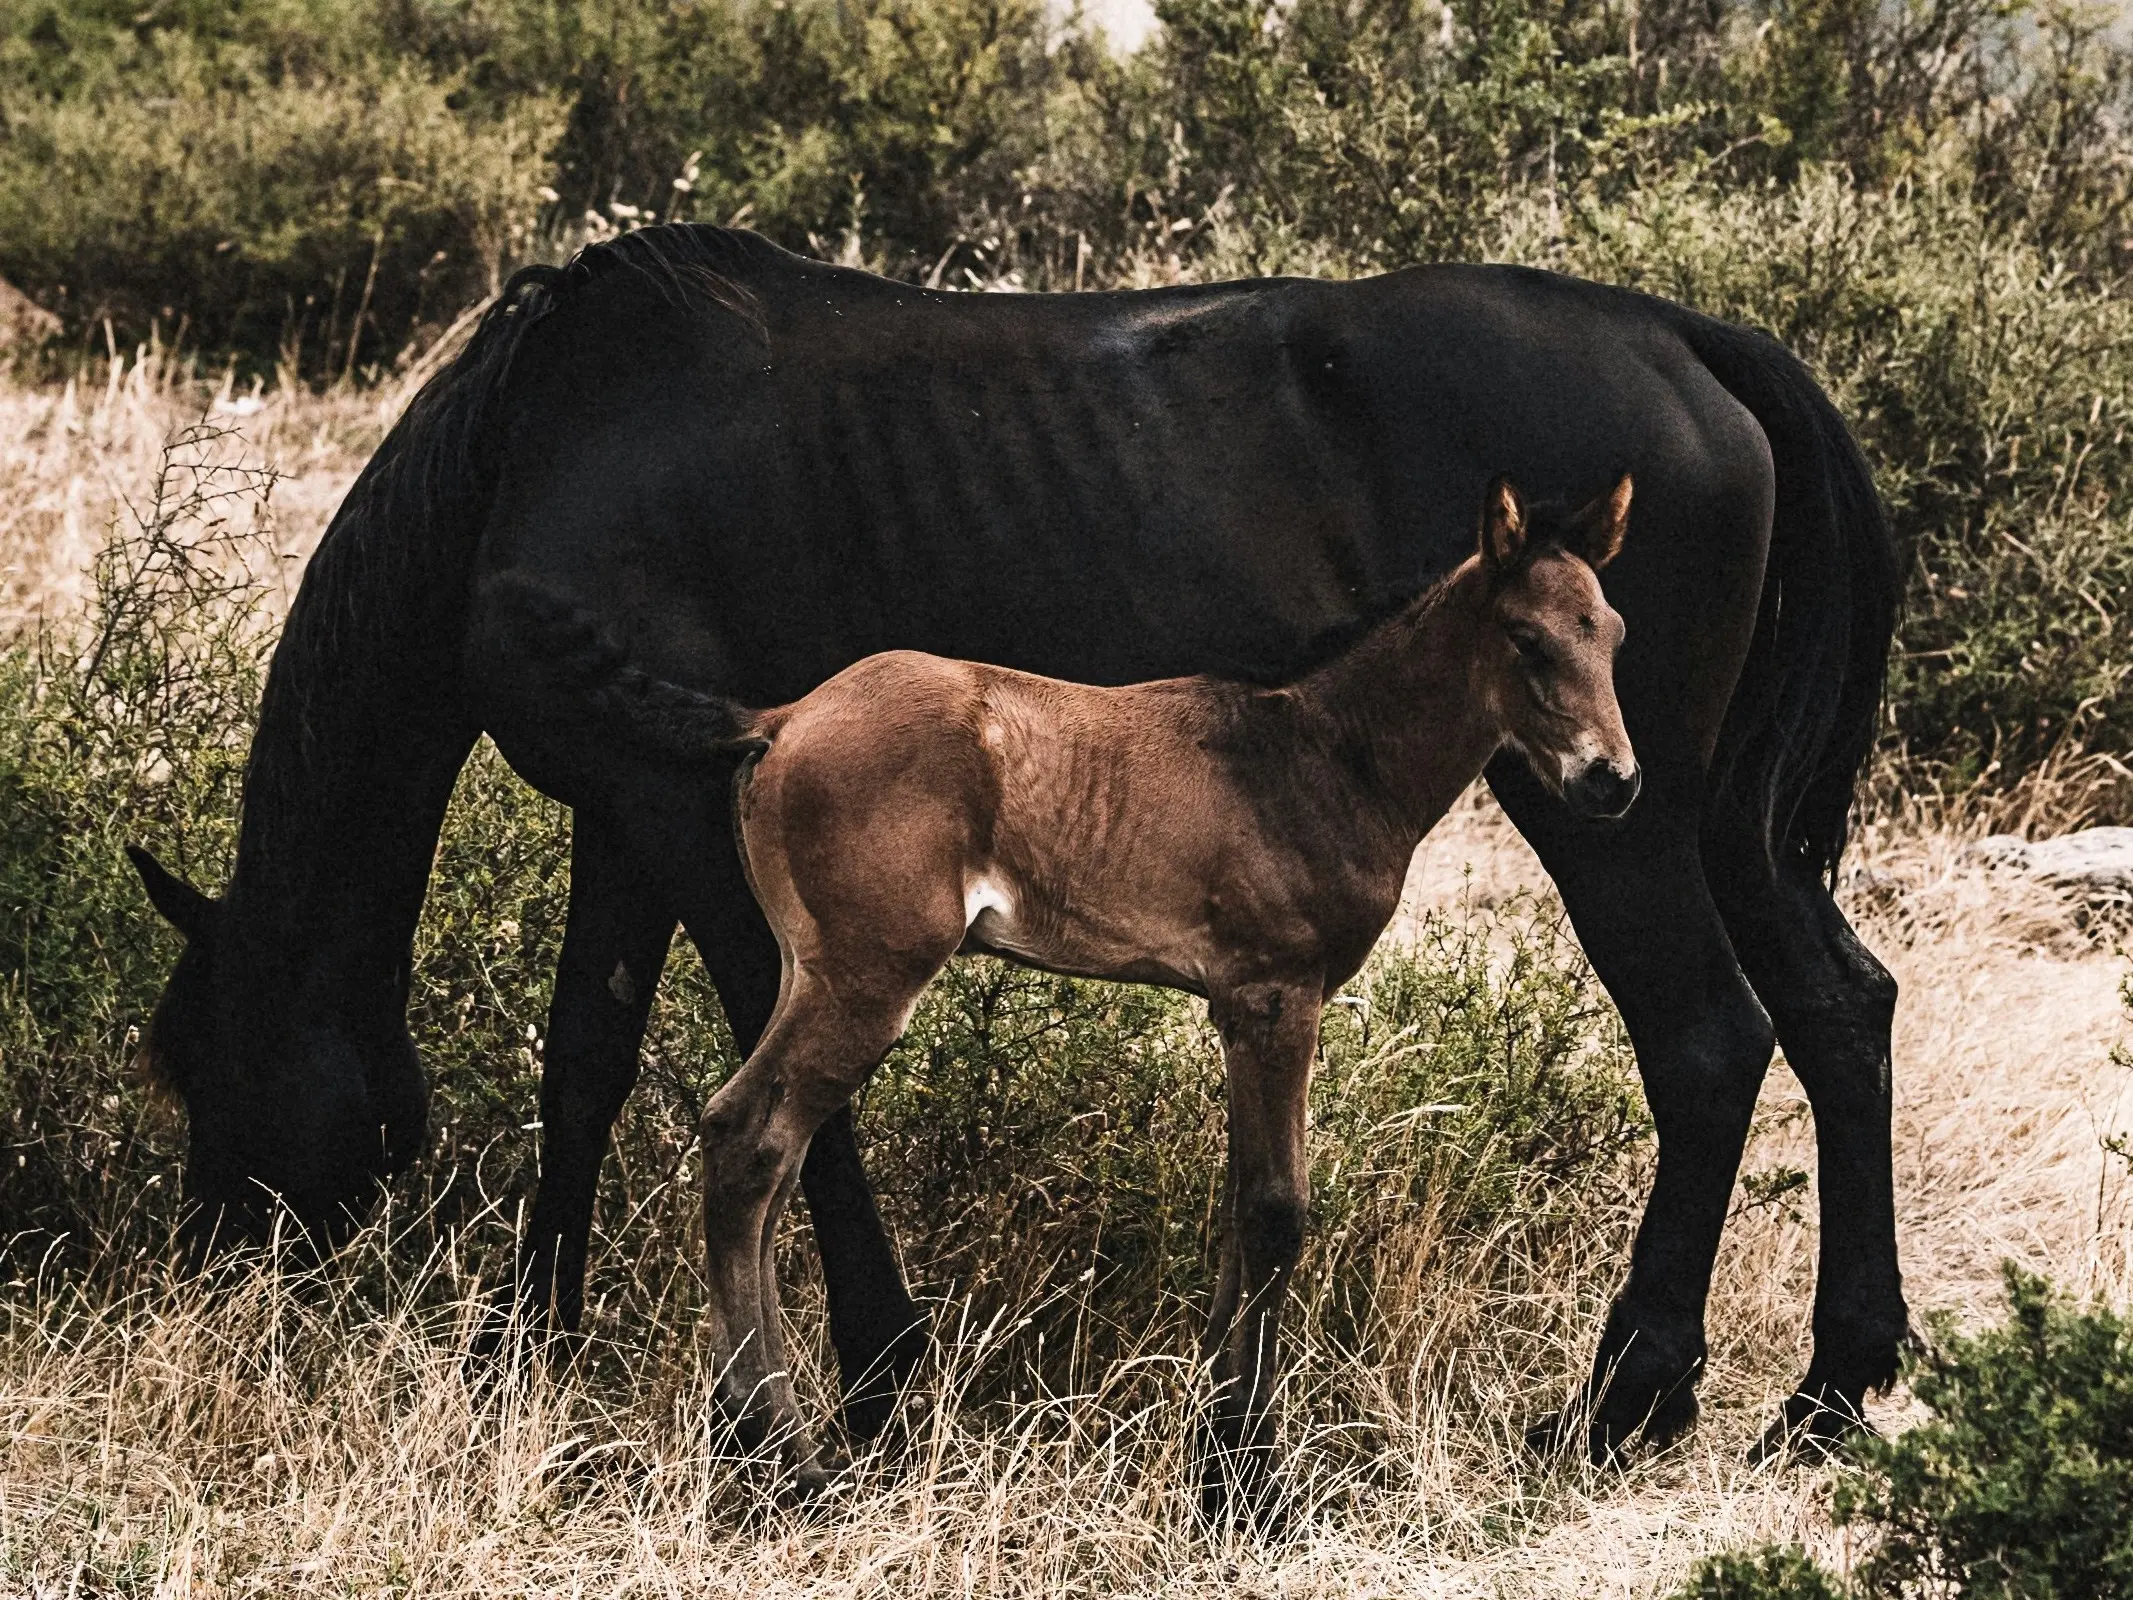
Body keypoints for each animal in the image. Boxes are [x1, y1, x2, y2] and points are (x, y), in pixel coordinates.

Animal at [691, 473, 1638, 1518]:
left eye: (1611, 633)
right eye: (1524, 637)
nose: (1612, 781)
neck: (1322, 757)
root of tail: (783, 719)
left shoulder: (1234, 1007)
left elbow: (1239, 1199)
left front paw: (1208, 1444)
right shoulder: (1276, 994)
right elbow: (1275, 1209)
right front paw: (1246, 1473)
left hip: (807, 968)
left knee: (760, 1150)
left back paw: (748, 1431)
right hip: (869, 976)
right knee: (750, 1141)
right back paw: (783, 1455)